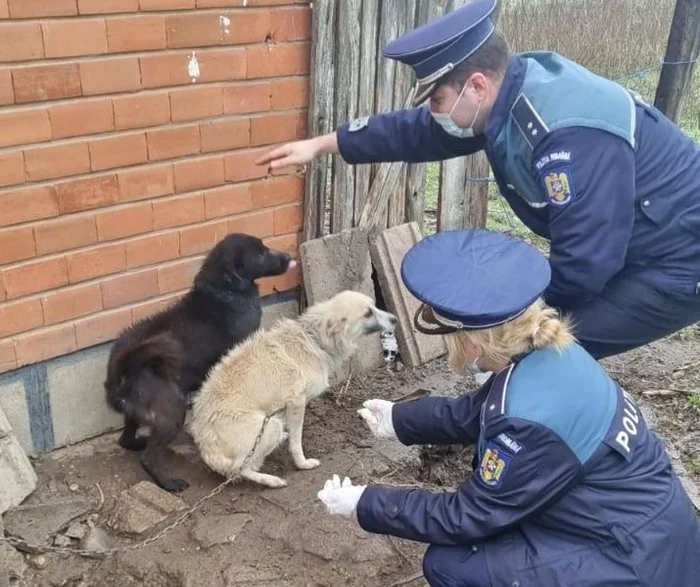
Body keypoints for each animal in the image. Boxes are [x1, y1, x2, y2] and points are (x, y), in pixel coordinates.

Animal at [102, 233, 294, 492]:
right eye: (261, 253)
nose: (288, 256)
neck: (225, 291)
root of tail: (123, 369)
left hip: (136, 413)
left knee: (125, 439)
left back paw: (139, 442)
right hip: (172, 414)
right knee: (148, 458)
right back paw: (169, 483)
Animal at [189, 290, 396, 486]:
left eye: (375, 305)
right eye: (368, 313)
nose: (394, 319)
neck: (313, 339)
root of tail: (207, 449)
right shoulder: (296, 401)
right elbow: (296, 443)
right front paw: (302, 464)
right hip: (269, 427)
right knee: (240, 469)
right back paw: (271, 480)